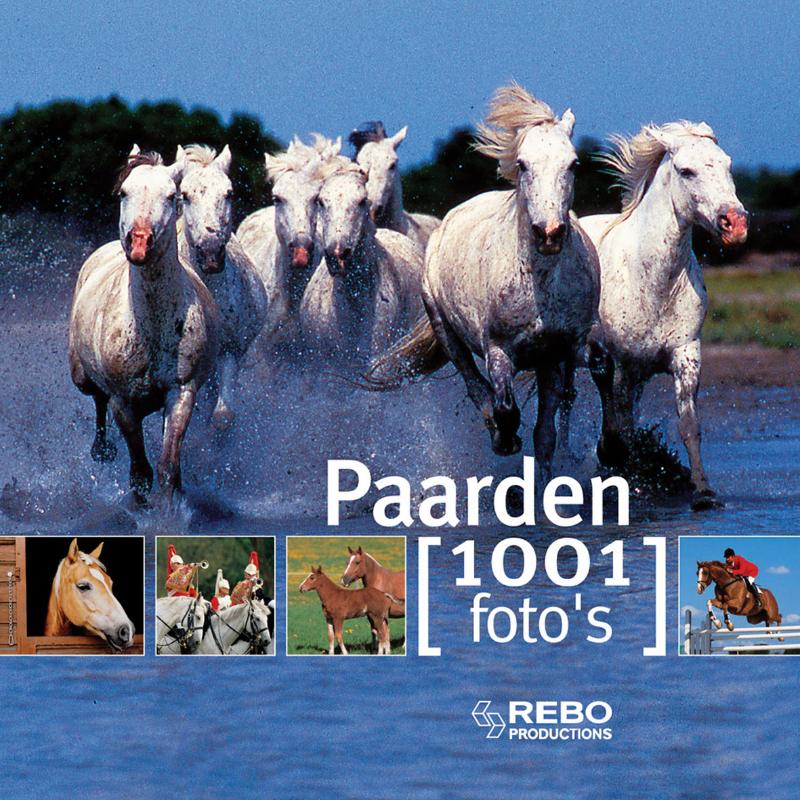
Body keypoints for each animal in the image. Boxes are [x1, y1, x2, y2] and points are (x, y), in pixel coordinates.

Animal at [68, 147, 219, 505]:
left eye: (171, 196)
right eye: (124, 193)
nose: (139, 243)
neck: (151, 325)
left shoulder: (181, 392)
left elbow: (167, 467)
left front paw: (170, 510)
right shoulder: (123, 402)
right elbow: (139, 473)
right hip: (81, 376)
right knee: (97, 399)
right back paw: (102, 451)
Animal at [364, 83, 600, 479]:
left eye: (573, 164)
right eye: (523, 164)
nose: (549, 233)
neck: (539, 283)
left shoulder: (556, 354)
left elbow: (546, 435)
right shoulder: (498, 350)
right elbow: (504, 405)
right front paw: (505, 438)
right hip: (446, 331)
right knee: (475, 385)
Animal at [579, 123, 748, 510]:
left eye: (728, 165)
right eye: (686, 171)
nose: (735, 224)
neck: (652, 282)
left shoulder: (685, 354)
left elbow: (688, 425)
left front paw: (703, 492)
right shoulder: (620, 363)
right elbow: (621, 427)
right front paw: (627, 481)